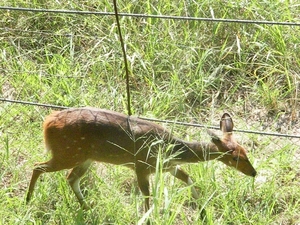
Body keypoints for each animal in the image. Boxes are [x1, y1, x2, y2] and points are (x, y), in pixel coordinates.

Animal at [26, 108, 255, 215]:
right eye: (235, 157)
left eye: (246, 152)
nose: (254, 172)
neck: (170, 149)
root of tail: (47, 123)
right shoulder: (142, 166)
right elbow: (147, 196)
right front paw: (148, 216)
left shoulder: (168, 167)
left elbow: (189, 179)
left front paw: (203, 209)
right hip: (67, 153)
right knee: (38, 166)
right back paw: (28, 201)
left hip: (85, 157)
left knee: (71, 178)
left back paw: (87, 207)